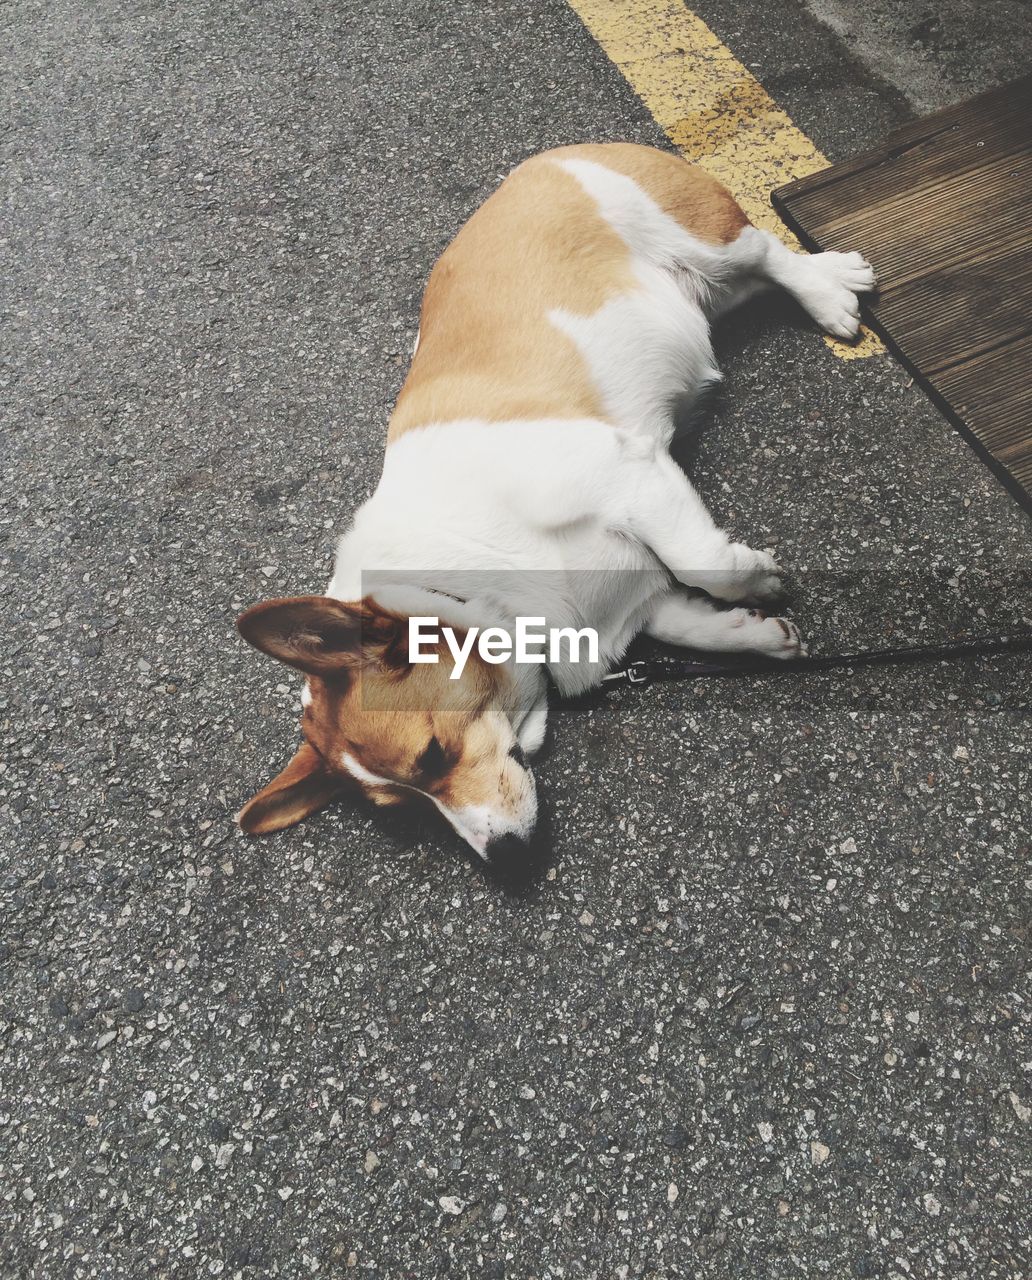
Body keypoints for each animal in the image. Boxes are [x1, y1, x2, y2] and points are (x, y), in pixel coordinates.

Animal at [238, 142, 875, 880]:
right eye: (408, 812)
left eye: (434, 756)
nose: (505, 862)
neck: (469, 590)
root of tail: (549, 158)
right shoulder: (640, 601)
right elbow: (696, 621)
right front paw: (759, 635)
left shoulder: (631, 475)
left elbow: (705, 561)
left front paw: (761, 581)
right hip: (706, 294)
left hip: (706, 242)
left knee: (769, 253)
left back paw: (830, 291)